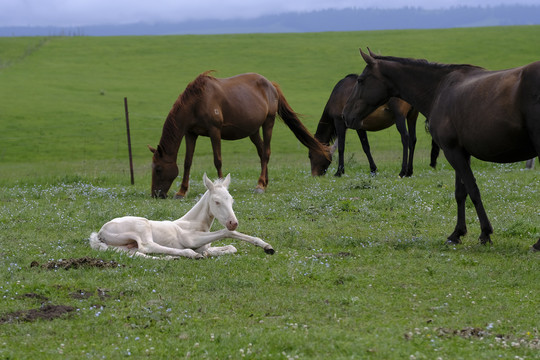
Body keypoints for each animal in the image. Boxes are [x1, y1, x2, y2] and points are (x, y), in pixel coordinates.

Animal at [90, 174, 274, 258]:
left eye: (231, 200)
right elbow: (226, 233)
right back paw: (190, 254)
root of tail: (99, 233)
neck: (193, 223)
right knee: (147, 246)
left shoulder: (205, 245)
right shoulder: (192, 239)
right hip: (142, 226)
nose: (233, 222)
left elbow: (231, 247)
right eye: (216, 202)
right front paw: (267, 246)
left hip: (123, 247)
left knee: (140, 253)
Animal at [150, 71, 332, 198]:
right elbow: (188, 162)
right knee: (261, 152)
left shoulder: (214, 131)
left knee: (266, 152)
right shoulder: (190, 134)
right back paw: (265, 182)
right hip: (253, 131)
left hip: (268, 123)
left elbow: (217, 160)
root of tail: (271, 85)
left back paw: (260, 186)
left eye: (158, 169)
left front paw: (220, 188)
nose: (156, 195)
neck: (197, 102)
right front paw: (181, 192)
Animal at [344, 48, 536, 250]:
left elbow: (473, 190)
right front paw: (457, 233)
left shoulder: (452, 151)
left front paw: (485, 233)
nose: (345, 114)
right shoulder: (460, 152)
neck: (440, 89)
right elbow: (461, 193)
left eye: (360, 80)